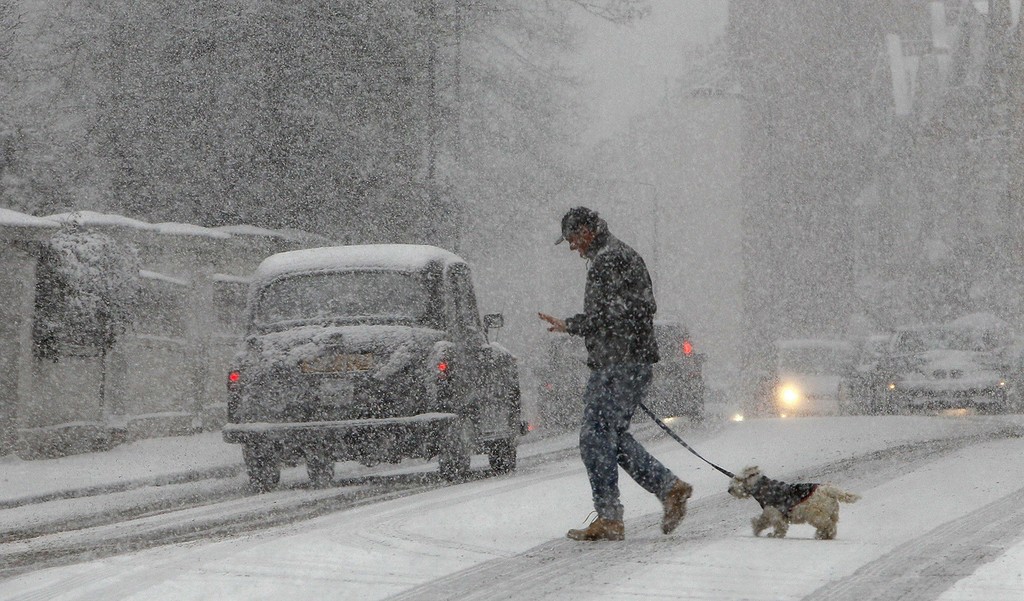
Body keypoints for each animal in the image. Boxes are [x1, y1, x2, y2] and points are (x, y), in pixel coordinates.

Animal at [724, 464, 860, 540]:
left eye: (738, 479)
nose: (729, 490)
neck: (761, 487)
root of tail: (829, 489)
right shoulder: (769, 513)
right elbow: (762, 521)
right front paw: (756, 529)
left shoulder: (774, 513)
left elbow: (779, 527)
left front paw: (773, 535)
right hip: (831, 513)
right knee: (832, 526)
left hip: (817, 515)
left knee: (828, 526)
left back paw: (821, 535)